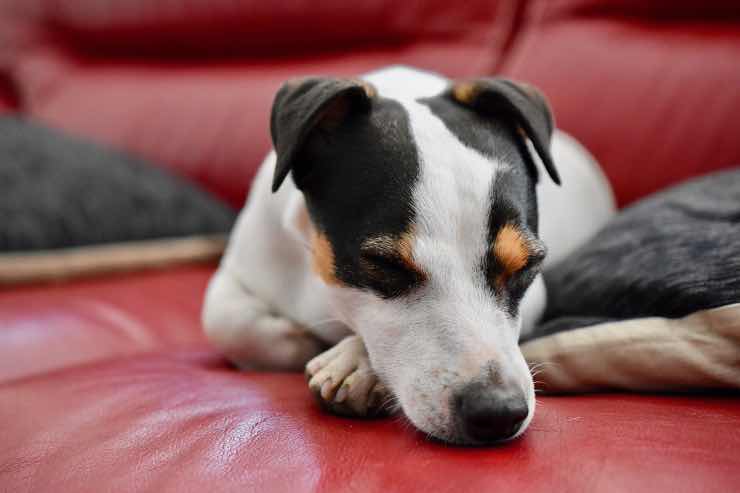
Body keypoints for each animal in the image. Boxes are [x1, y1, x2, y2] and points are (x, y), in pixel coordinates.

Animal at [202, 66, 612, 446]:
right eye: (384, 264)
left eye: (527, 266)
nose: (498, 412)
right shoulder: (238, 270)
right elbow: (229, 324)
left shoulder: (537, 295)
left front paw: (355, 360)